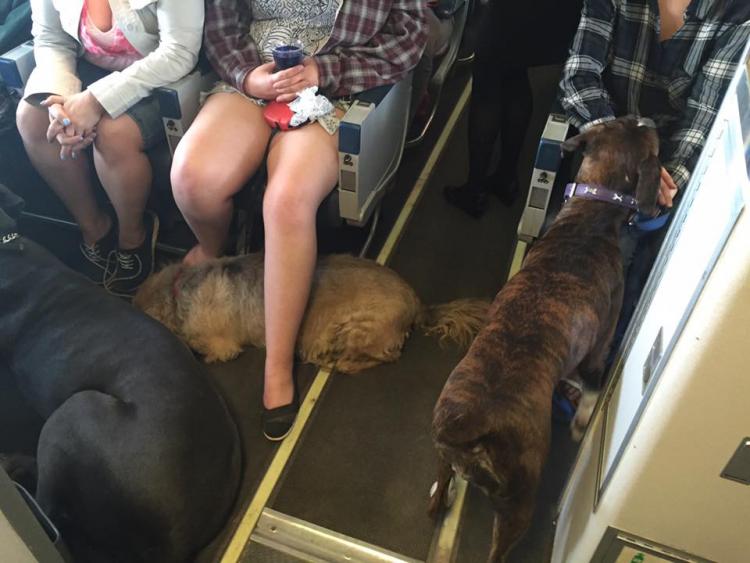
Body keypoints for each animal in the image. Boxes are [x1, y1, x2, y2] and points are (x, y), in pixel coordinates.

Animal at [134, 256, 488, 374]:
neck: (177, 292)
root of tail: (417, 303)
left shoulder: (221, 347)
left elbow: (206, 351)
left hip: (352, 329)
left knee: (384, 357)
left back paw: (337, 362)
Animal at [428, 117, 664, 560]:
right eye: (645, 132)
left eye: (624, 122)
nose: (649, 118)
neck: (591, 214)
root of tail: (473, 425)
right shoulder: (597, 350)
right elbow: (591, 389)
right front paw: (582, 421)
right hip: (520, 499)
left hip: (444, 442)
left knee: (438, 489)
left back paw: (440, 493)